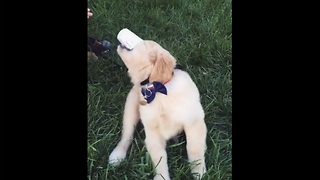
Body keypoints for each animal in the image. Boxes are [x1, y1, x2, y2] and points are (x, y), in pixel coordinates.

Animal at [109, 40, 206, 179]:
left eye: (143, 42)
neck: (158, 89)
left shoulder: (194, 122)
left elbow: (194, 148)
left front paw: (198, 172)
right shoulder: (153, 132)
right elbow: (159, 157)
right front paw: (161, 176)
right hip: (130, 107)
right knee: (126, 135)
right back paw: (117, 156)